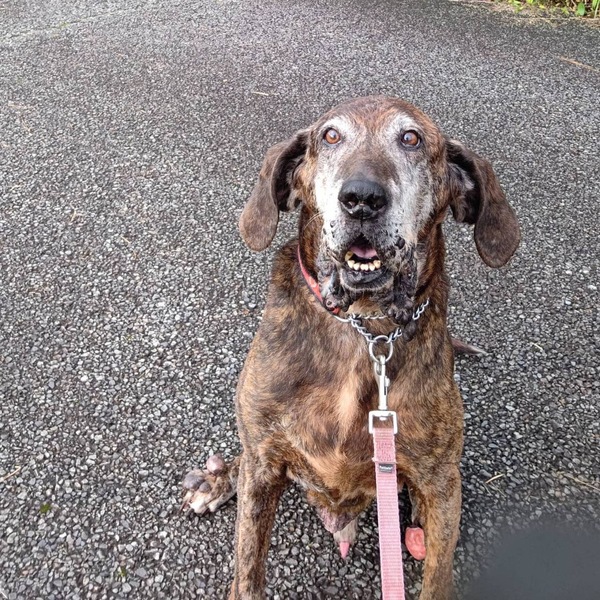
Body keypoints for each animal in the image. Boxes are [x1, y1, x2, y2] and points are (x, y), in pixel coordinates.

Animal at [182, 96, 520, 599]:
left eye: (411, 138)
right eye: (330, 136)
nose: (362, 198)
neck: (365, 327)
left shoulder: (440, 479)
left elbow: (438, 575)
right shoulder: (264, 462)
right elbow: (247, 567)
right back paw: (217, 479)